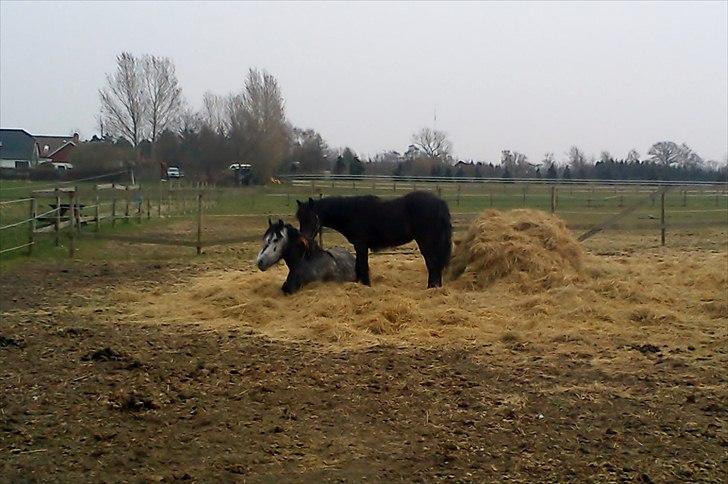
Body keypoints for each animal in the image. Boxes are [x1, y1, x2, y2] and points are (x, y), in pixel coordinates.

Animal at [295, 191, 452, 288]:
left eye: (312, 217)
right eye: (299, 218)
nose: (304, 241)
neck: (351, 212)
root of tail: (440, 203)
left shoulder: (361, 244)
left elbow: (362, 265)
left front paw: (366, 285)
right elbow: (359, 266)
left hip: (426, 242)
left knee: (433, 264)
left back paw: (431, 288)